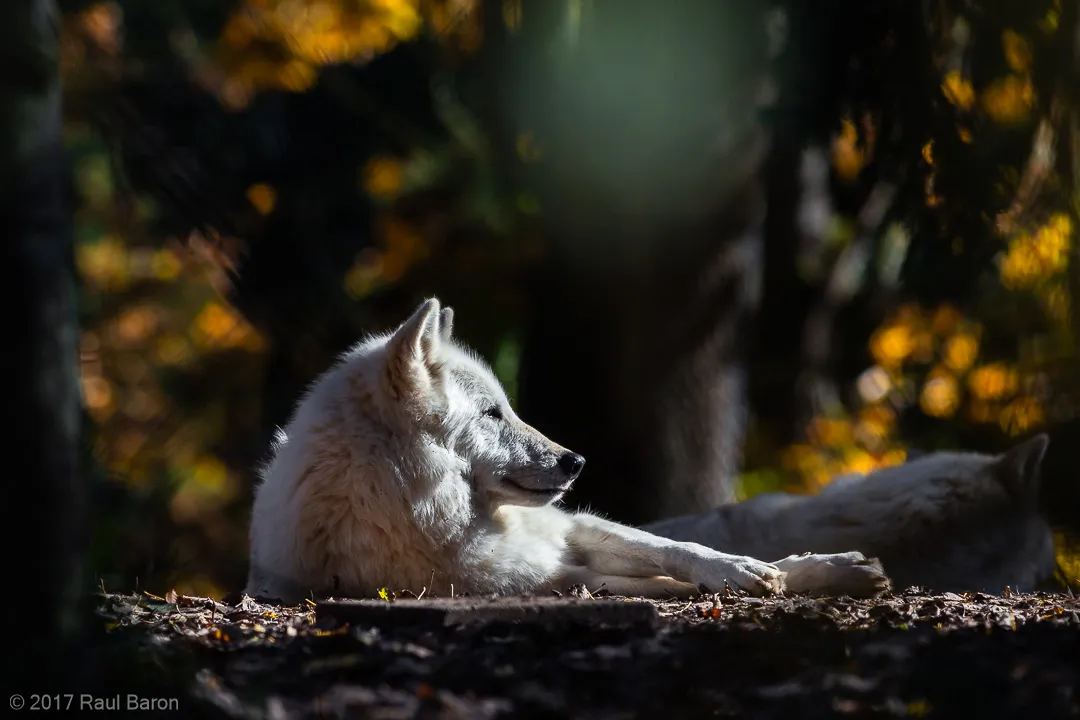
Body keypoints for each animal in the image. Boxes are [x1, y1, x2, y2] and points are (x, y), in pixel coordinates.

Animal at [246, 298, 889, 603]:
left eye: (508, 406)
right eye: (491, 414)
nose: (576, 461)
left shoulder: (569, 528)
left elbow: (681, 549)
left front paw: (797, 569)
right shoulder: (537, 576)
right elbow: (638, 582)